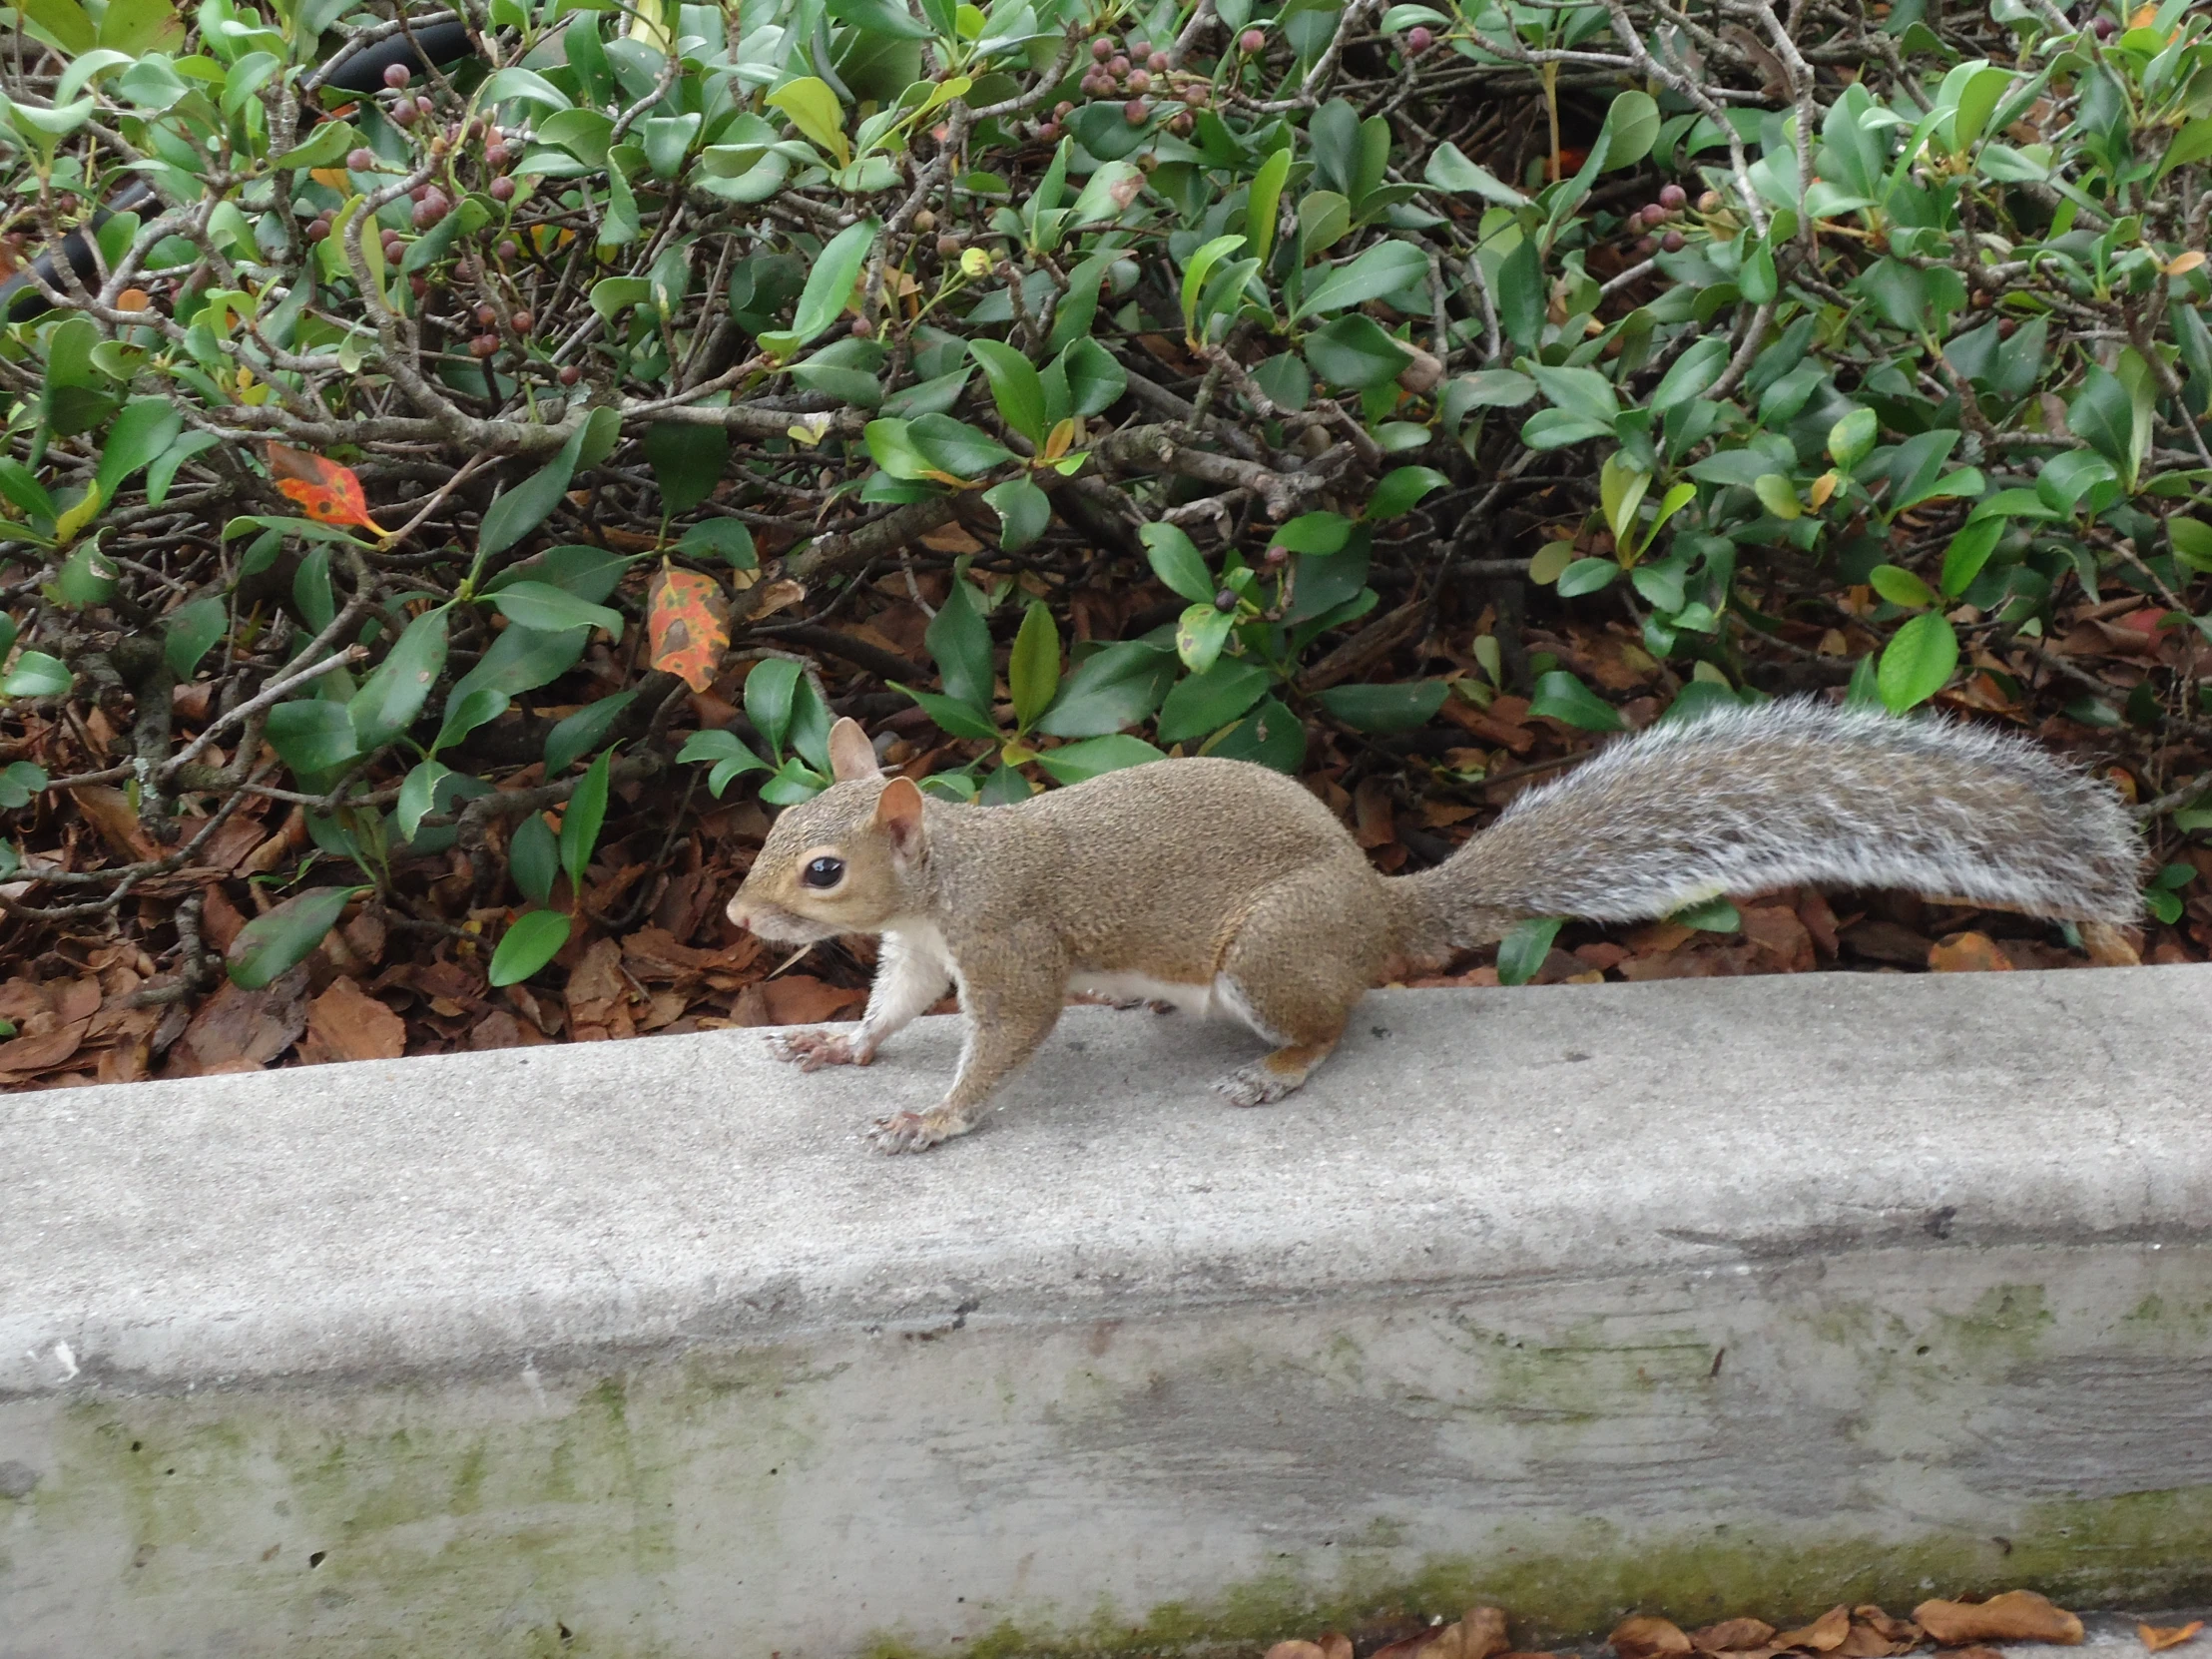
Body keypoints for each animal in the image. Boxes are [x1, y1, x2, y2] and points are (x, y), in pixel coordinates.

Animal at [725, 703, 2141, 1159]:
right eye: (775, 817)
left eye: (823, 866)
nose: (737, 914)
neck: (948, 872)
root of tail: (1373, 906)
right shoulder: (923, 950)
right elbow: (893, 1007)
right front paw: (843, 1051)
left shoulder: (1006, 943)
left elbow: (1004, 1034)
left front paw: (934, 1119)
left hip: (1269, 959)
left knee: (1329, 1020)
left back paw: (1275, 1073)